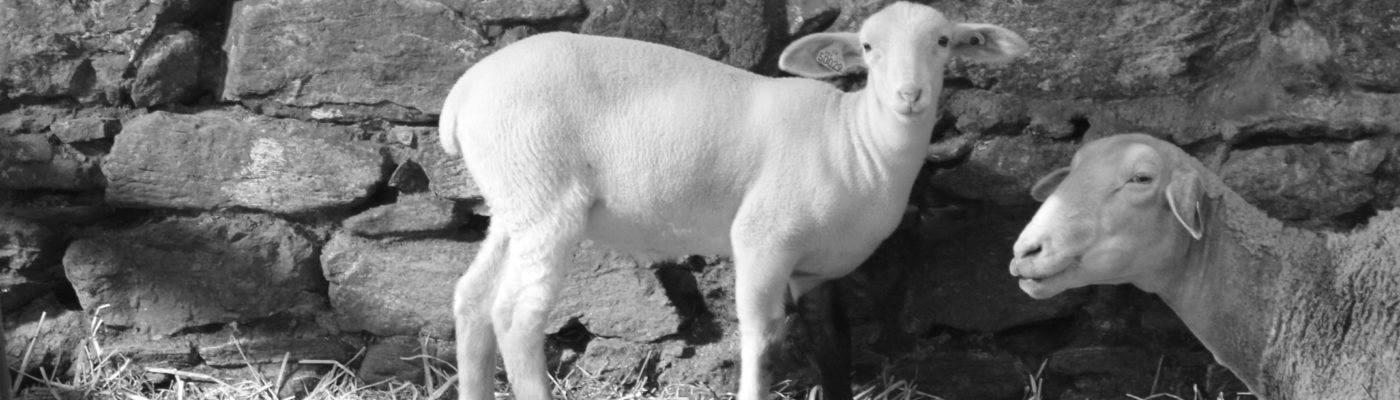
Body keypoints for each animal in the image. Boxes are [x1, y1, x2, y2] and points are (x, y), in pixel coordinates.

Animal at [436, 3, 1030, 400]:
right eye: (867, 47)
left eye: (944, 42)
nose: (910, 96)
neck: (857, 142)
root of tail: (464, 93)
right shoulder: (764, 239)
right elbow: (762, 337)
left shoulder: (817, 268)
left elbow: (833, 341)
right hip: (546, 196)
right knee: (518, 316)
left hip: (515, 198)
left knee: (472, 299)